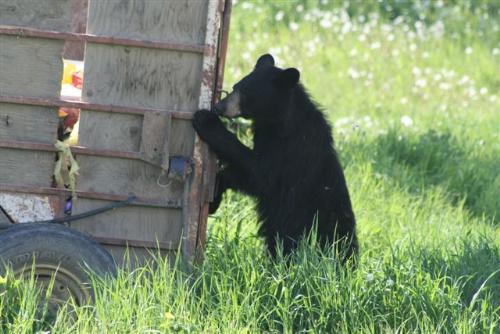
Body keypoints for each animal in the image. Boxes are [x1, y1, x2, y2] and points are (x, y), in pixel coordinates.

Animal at [193, 53, 358, 260]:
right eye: (235, 87)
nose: (219, 107)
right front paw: (214, 198)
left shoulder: (292, 150)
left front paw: (205, 120)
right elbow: (248, 178)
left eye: (246, 93)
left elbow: (261, 175)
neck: (278, 122)